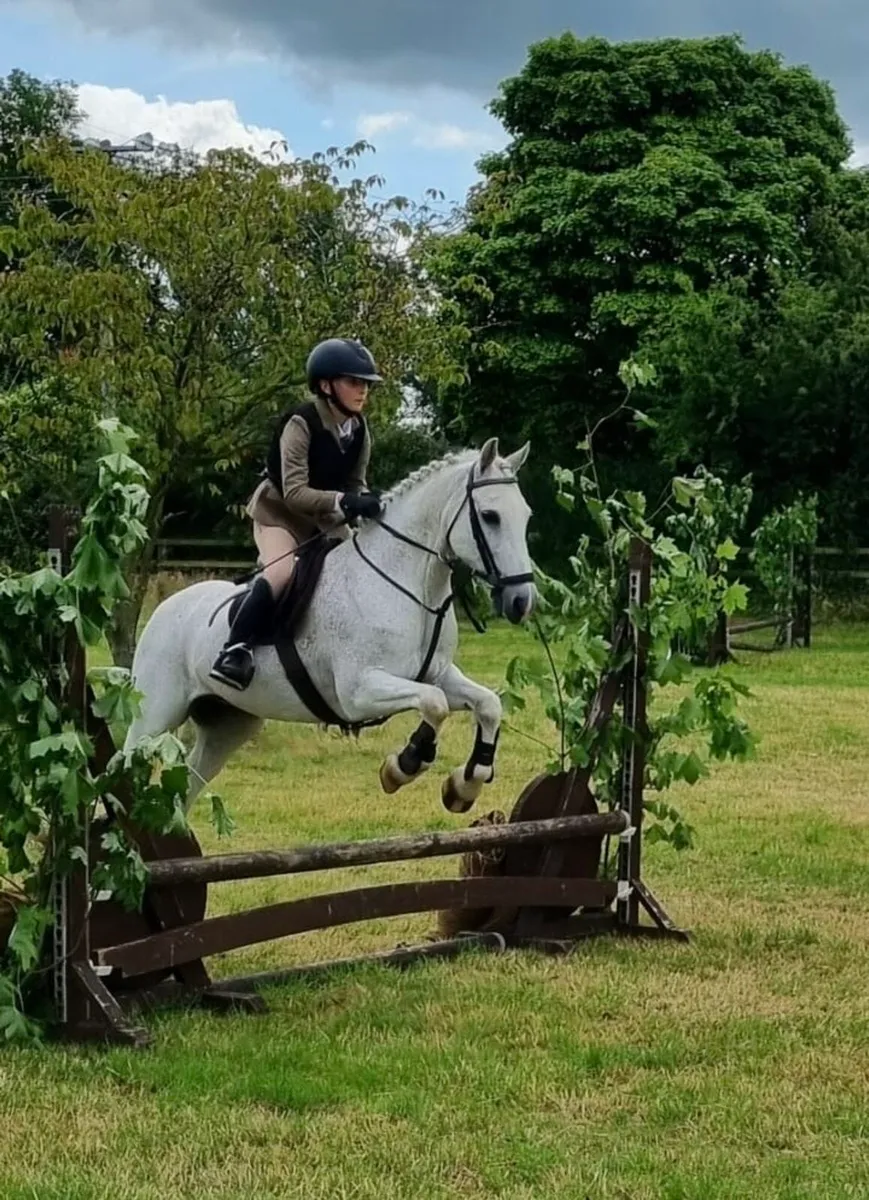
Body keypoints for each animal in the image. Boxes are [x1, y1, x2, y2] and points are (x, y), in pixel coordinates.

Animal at [123, 436, 537, 815]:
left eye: (526, 515)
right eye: (490, 516)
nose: (522, 601)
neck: (409, 585)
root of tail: (166, 608)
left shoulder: (437, 674)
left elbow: (487, 704)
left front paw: (464, 785)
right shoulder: (358, 693)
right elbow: (434, 705)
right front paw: (402, 766)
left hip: (228, 725)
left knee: (187, 789)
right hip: (155, 714)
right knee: (126, 766)